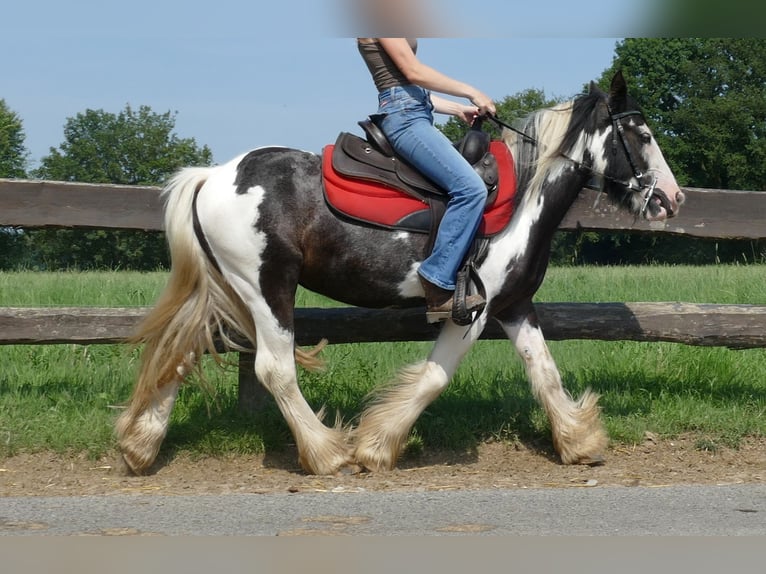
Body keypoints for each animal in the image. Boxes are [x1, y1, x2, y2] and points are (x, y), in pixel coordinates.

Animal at [117, 72, 688, 476]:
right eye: (641, 133)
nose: (672, 198)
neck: (522, 201)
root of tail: (212, 176)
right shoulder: (473, 310)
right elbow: (435, 376)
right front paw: (375, 446)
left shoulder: (514, 306)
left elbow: (543, 371)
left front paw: (578, 441)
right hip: (266, 288)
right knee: (273, 370)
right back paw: (327, 454)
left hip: (225, 291)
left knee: (182, 352)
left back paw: (140, 445)